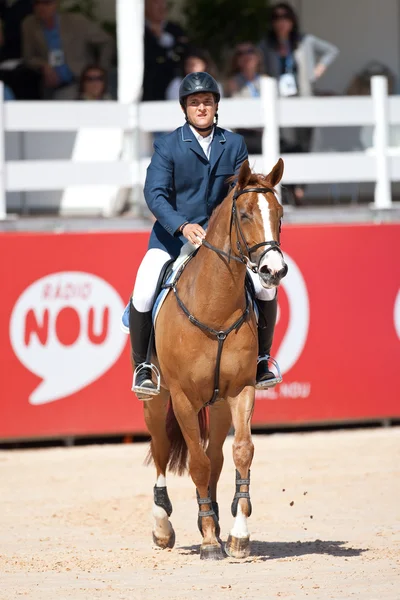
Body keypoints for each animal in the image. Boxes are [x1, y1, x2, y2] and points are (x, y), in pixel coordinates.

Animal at [142, 157, 286, 560]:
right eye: (244, 213)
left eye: (280, 214)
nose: (274, 270)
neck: (216, 304)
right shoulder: (183, 399)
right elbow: (197, 462)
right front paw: (207, 539)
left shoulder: (241, 390)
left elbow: (241, 453)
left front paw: (237, 534)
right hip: (157, 400)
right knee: (162, 449)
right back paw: (163, 525)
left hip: (219, 404)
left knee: (218, 458)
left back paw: (217, 518)